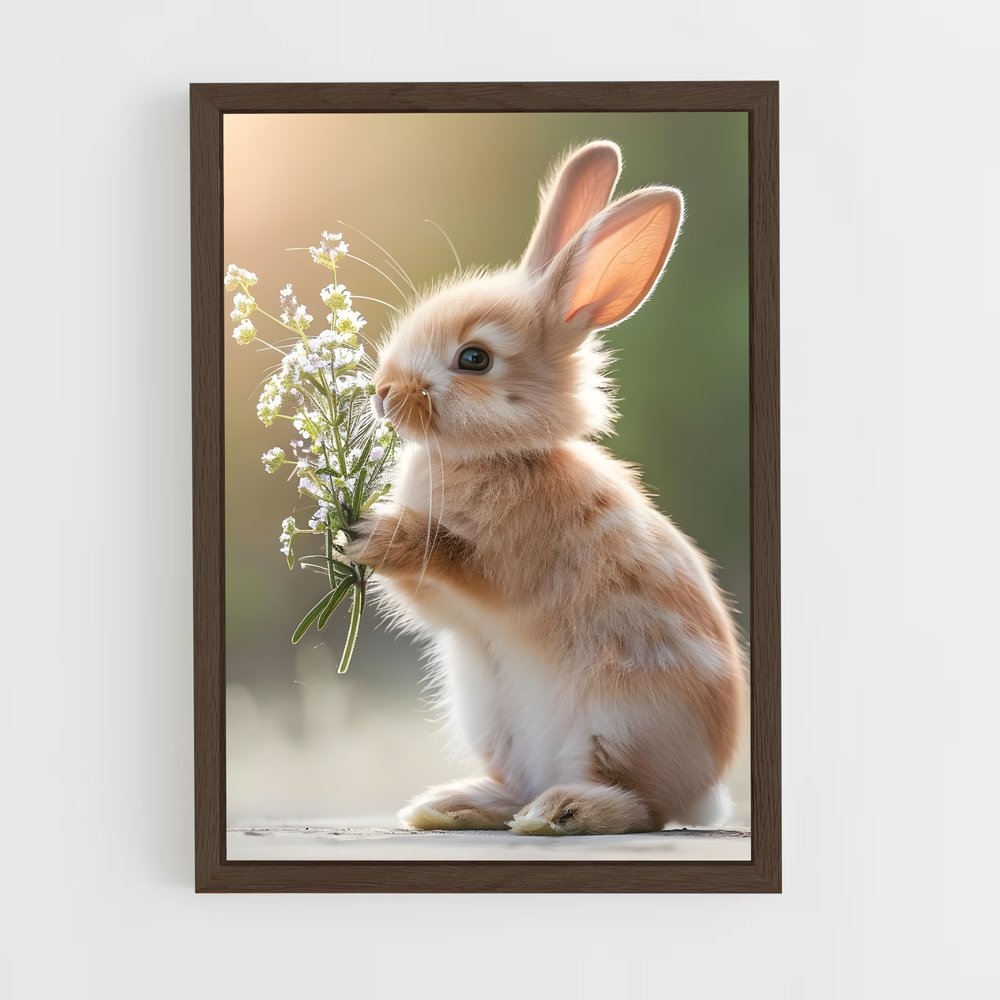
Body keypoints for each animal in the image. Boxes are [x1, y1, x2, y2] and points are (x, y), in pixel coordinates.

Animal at [345, 140, 746, 835]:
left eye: (474, 359)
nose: (384, 394)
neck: (501, 456)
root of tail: (706, 795)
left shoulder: (510, 565)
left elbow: (462, 563)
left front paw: (381, 532)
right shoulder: (449, 613)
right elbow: (429, 603)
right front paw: (355, 535)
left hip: (616, 719)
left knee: (640, 805)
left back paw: (560, 812)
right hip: (490, 717)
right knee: (521, 787)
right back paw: (451, 806)